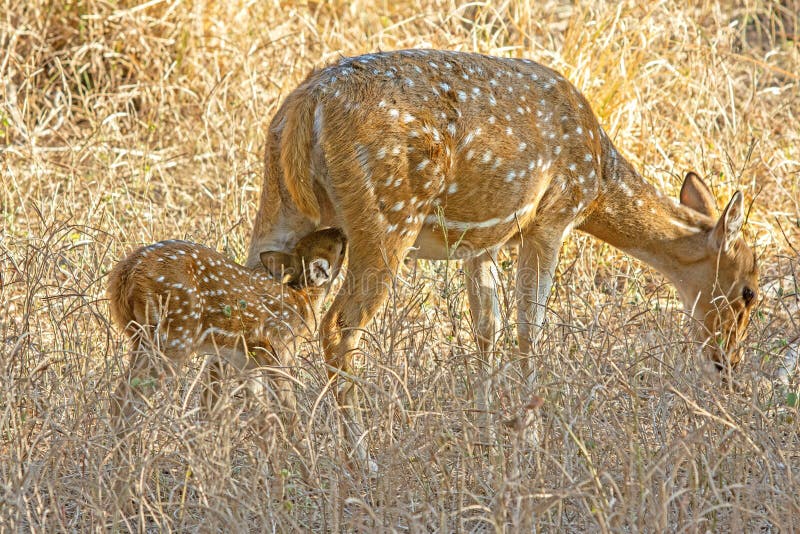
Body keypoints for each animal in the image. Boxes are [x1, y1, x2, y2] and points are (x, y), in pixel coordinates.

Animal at [106, 228, 344, 430]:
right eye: (337, 248)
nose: (340, 230)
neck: (302, 302)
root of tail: (127, 273)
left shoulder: (247, 362)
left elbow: (260, 414)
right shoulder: (278, 349)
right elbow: (287, 408)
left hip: (140, 336)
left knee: (122, 394)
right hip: (174, 335)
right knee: (127, 397)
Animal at [247, 49, 760, 460]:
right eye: (749, 291)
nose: (730, 366)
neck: (598, 182)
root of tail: (305, 107)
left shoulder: (482, 243)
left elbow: (486, 331)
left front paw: (487, 440)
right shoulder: (551, 219)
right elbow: (529, 328)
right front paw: (530, 443)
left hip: (281, 206)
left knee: (262, 312)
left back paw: (280, 454)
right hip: (387, 214)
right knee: (336, 326)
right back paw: (359, 456)